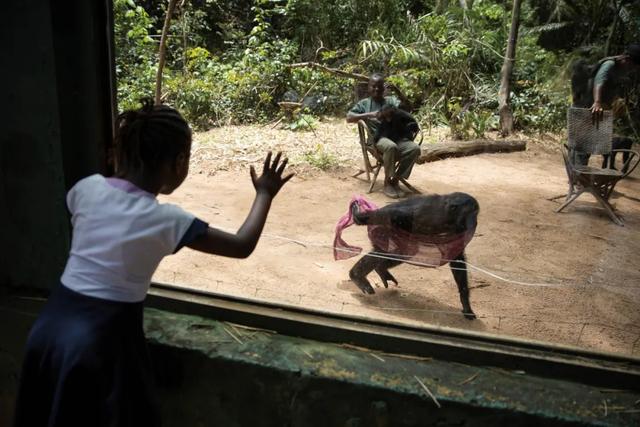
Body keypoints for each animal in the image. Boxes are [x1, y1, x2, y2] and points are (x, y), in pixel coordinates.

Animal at [348, 192, 478, 320]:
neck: (449, 216)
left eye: (476, 213)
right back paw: (357, 275)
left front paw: (466, 304)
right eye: (470, 213)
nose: (474, 221)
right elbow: (396, 213)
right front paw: (358, 215)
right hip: (380, 230)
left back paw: (381, 270)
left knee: (400, 252)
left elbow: (457, 259)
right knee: (392, 249)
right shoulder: (431, 215)